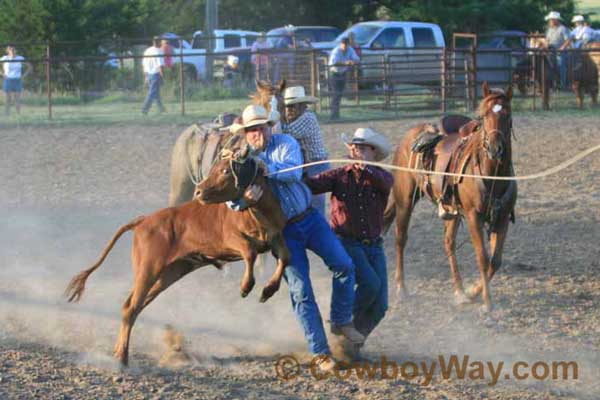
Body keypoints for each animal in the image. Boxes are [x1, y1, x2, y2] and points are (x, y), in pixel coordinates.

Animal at [63, 146, 290, 366]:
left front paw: (268, 290)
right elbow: (250, 252)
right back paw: (121, 357)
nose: (198, 191)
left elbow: (285, 258)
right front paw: (245, 287)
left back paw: (120, 353)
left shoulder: (276, 238)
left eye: (226, 170)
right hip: (148, 270)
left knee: (133, 306)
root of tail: (144, 220)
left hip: (169, 273)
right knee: (131, 307)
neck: (258, 212)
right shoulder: (231, 238)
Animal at [386, 82, 516, 312]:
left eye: (507, 114)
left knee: (449, 243)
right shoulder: (473, 217)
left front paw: (473, 292)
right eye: (483, 116)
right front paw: (487, 303)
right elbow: (483, 258)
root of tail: (408, 138)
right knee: (401, 238)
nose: (495, 148)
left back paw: (460, 291)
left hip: (451, 211)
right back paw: (401, 288)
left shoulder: (502, 218)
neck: (493, 175)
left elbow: (495, 261)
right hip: (404, 201)